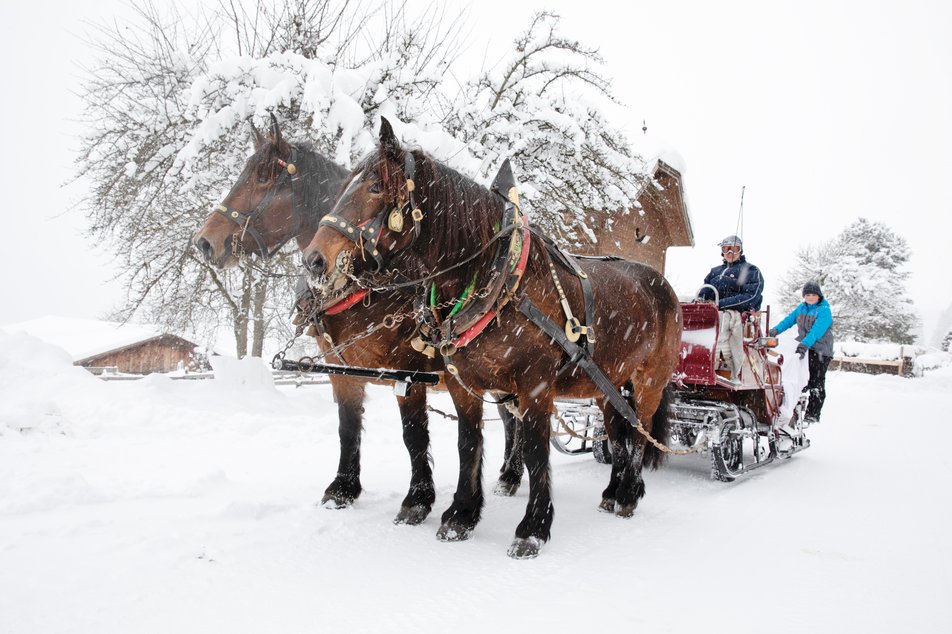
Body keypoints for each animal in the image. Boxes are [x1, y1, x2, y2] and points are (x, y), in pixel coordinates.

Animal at [192, 116, 525, 525]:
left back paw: (511, 474)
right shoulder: (339, 368)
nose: (205, 242)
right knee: (509, 415)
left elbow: (413, 434)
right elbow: (347, 426)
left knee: (513, 415)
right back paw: (508, 474)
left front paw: (418, 499)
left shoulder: (407, 370)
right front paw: (343, 488)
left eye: (263, 177)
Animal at [302, 118, 683, 558]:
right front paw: (461, 515)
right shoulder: (460, 382)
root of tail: (663, 284)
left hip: (649, 380)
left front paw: (532, 528)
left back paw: (629, 493)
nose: (314, 260)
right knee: (617, 433)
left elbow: (535, 451)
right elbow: (467, 443)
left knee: (637, 432)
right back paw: (612, 491)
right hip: (606, 383)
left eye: (376, 188)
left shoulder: (533, 386)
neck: (496, 279)